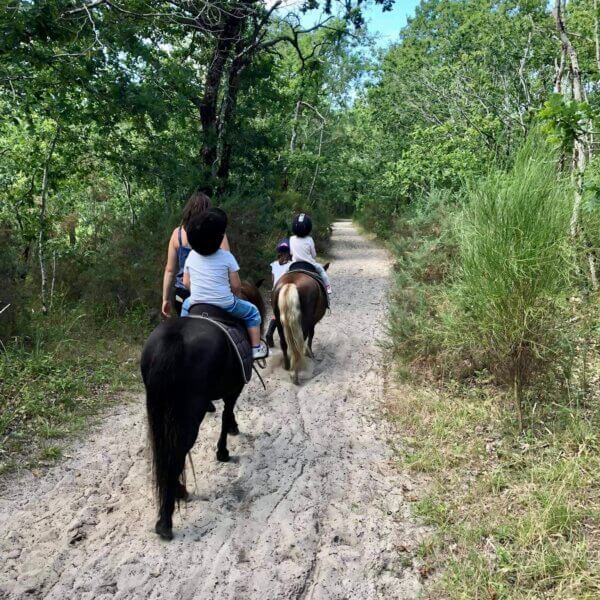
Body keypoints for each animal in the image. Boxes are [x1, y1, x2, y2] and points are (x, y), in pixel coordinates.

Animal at [142, 280, 264, 540]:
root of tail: (174, 339)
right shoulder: (234, 388)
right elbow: (227, 414)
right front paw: (224, 449)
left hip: (158, 406)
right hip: (190, 411)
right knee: (179, 448)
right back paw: (166, 519)